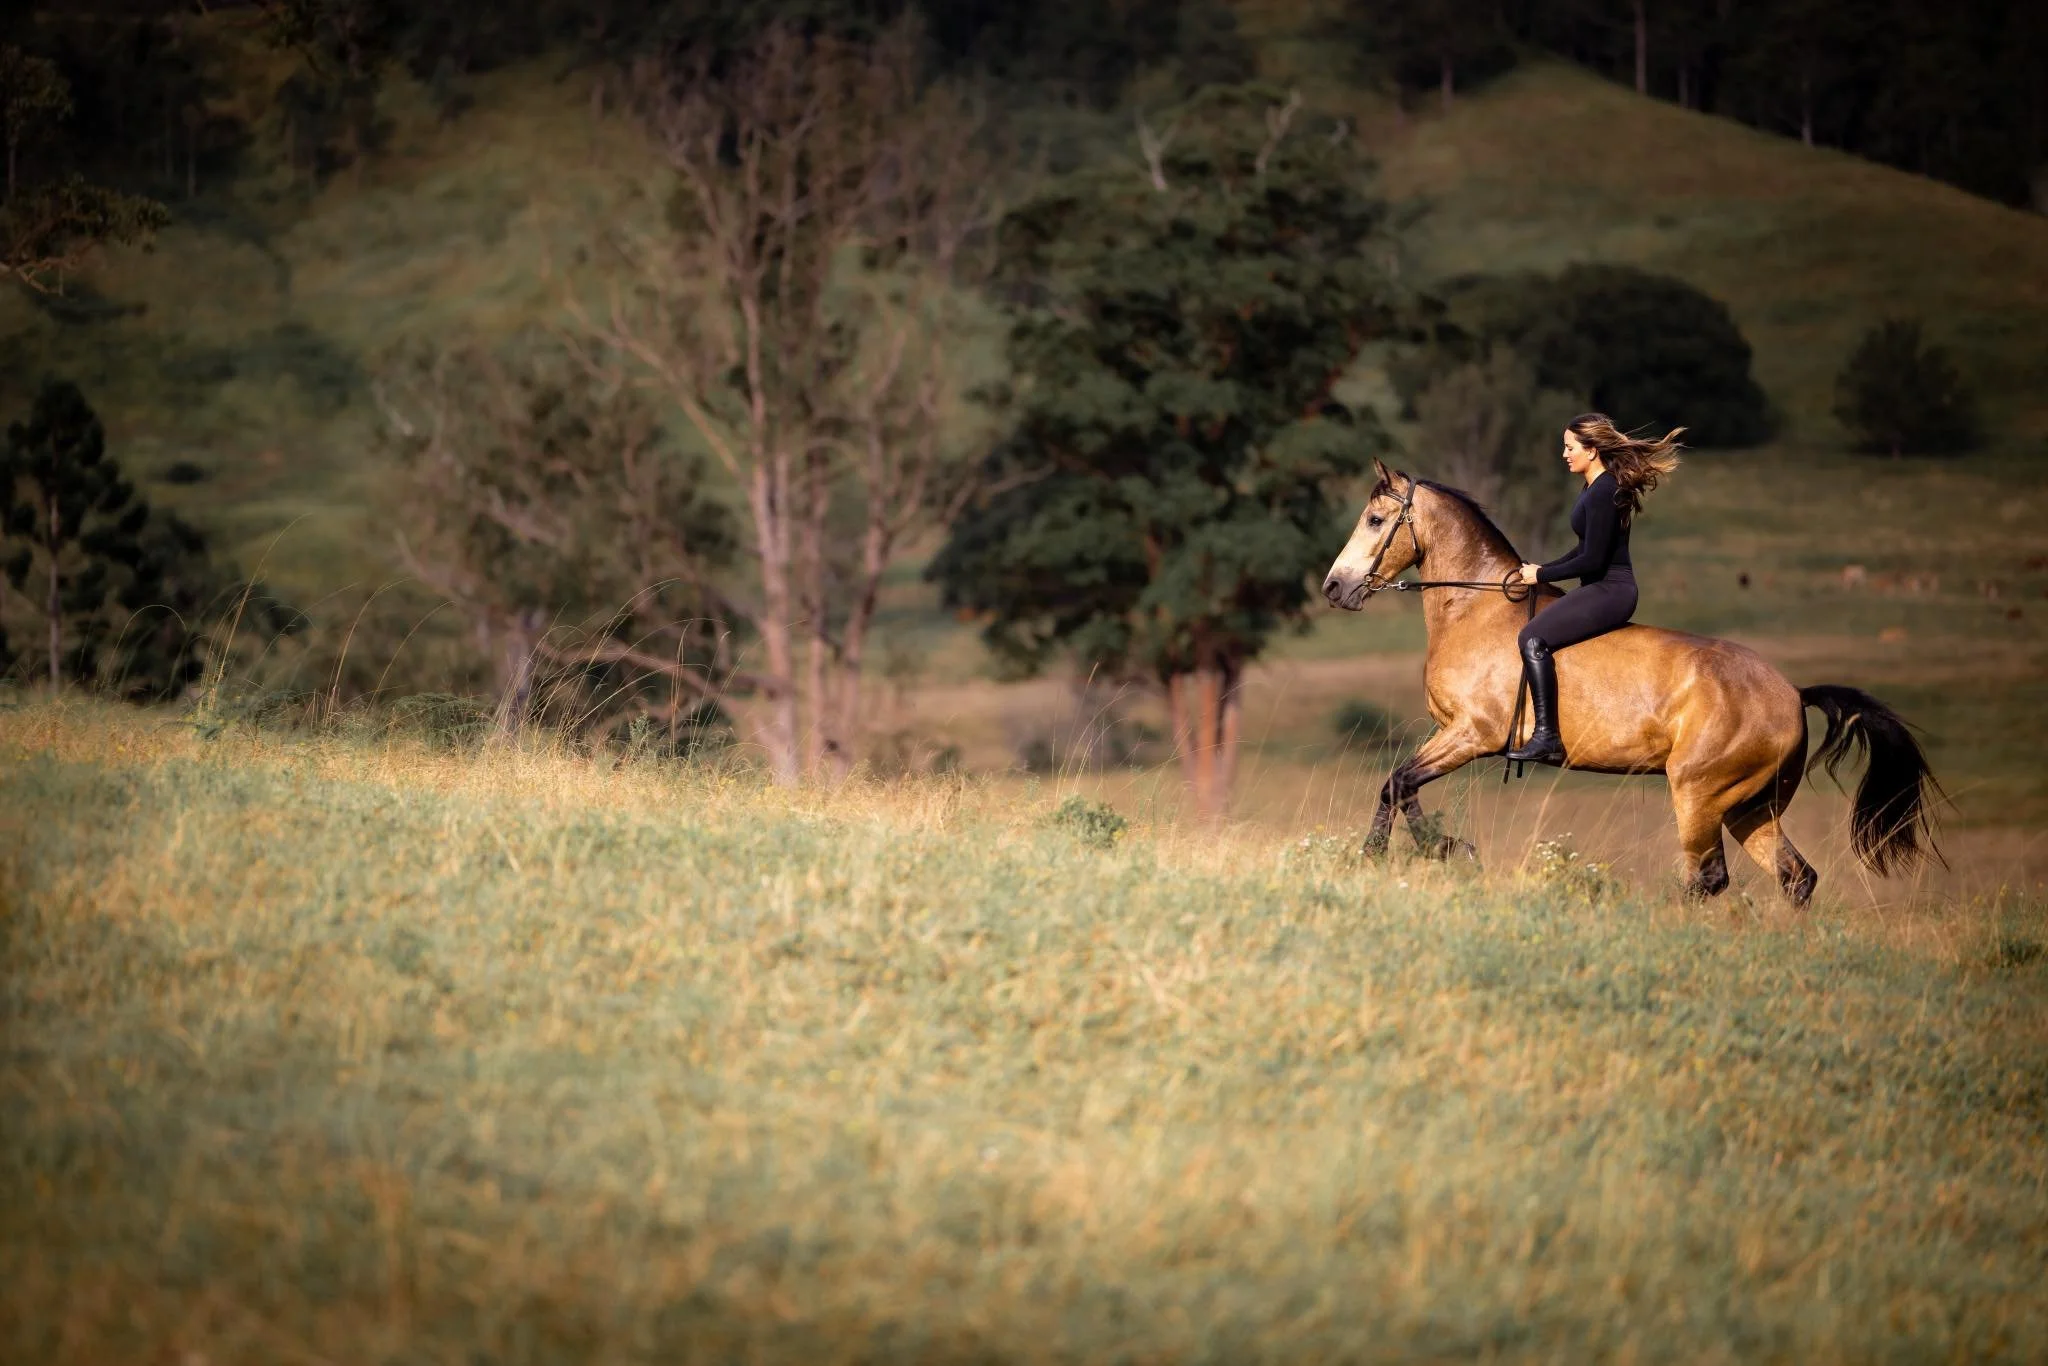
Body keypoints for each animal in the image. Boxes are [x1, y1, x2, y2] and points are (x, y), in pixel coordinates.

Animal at [1319, 461, 1941, 905]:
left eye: (1375, 521)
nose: (1333, 588)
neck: (1475, 605)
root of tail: (1791, 695)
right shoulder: (1453, 733)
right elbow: (1399, 785)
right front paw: (1421, 851)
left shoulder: (1475, 734)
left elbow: (1399, 783)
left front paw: (1424, 852)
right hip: (1750, 807)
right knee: (1795, 877)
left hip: (1698, 793)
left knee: (1710, 879)